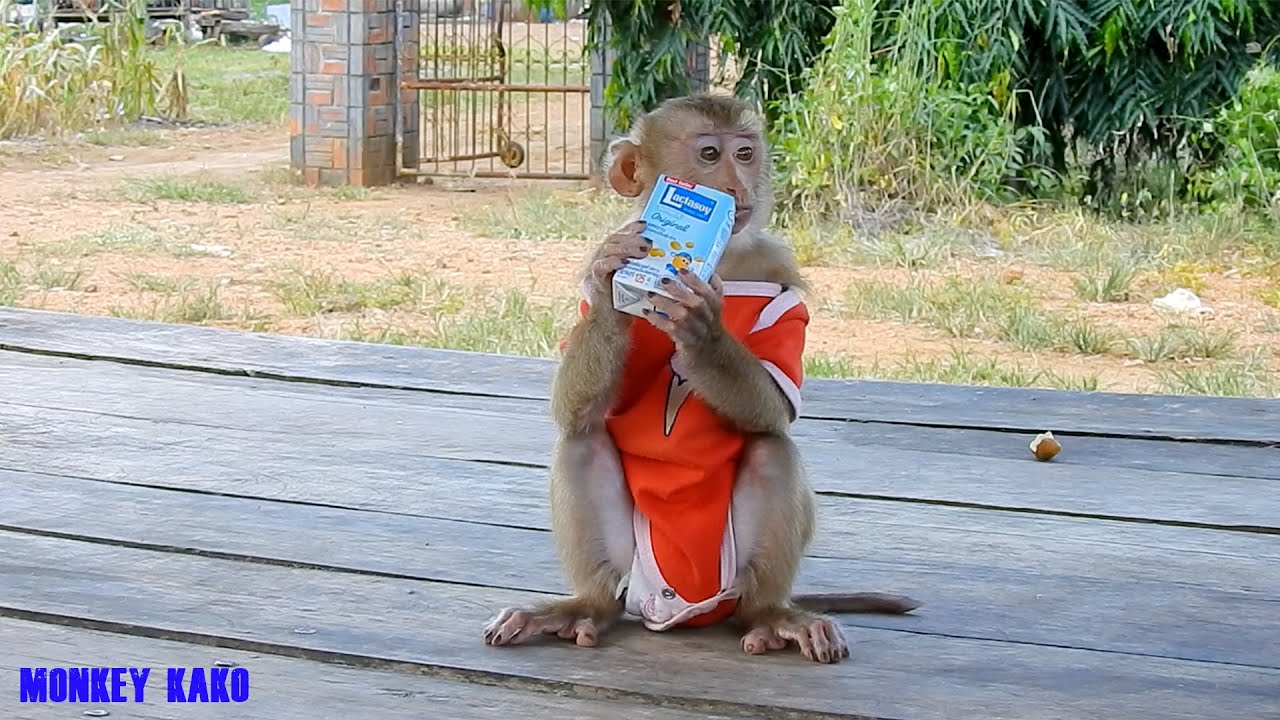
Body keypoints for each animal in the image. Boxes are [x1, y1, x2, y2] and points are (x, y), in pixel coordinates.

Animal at [482, 93, 920, 664]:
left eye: (746, 153)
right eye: (711, 154)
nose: (736, 186)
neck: (727, 258)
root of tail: (675, 611)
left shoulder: (784, 277)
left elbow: (774, 407)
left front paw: (702, 330)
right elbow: (572, 407)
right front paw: (613, 288)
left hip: (732, 586)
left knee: (771, 450)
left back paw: (770, 617)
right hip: (633, 576)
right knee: (579, 441)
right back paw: (589, 607)